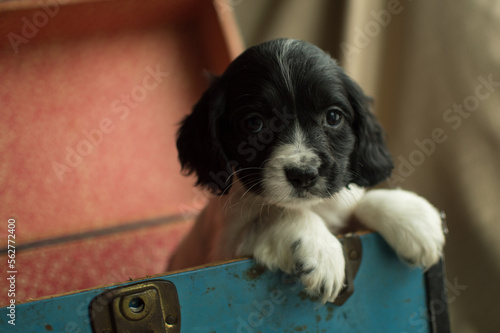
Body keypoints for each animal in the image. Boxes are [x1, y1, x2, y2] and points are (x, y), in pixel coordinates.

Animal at [169, 38, 446, 300]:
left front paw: (412, 218)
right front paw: (321, 249)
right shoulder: (226, 248)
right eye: (254, 123)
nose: (303, 175)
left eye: (333, 117)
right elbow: (275, 213)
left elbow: (357, 202)